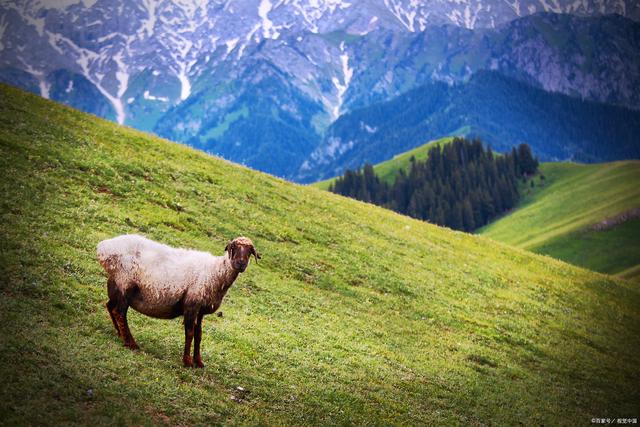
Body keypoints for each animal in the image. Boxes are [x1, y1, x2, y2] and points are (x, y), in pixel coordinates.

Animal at [95, 234, 260, 368]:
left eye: (250, 251)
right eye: (233, 248)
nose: (240, 264)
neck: (215, 272)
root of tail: (104, 247)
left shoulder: (201, 309)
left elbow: (199, 335)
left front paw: (199, 362)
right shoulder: (191, 304)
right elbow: (190, 333)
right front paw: (187, 362)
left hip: (116, 284)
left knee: (110, 307)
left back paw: (120, 334)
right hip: (125, 283)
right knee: (120, 312)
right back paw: (131, 343)